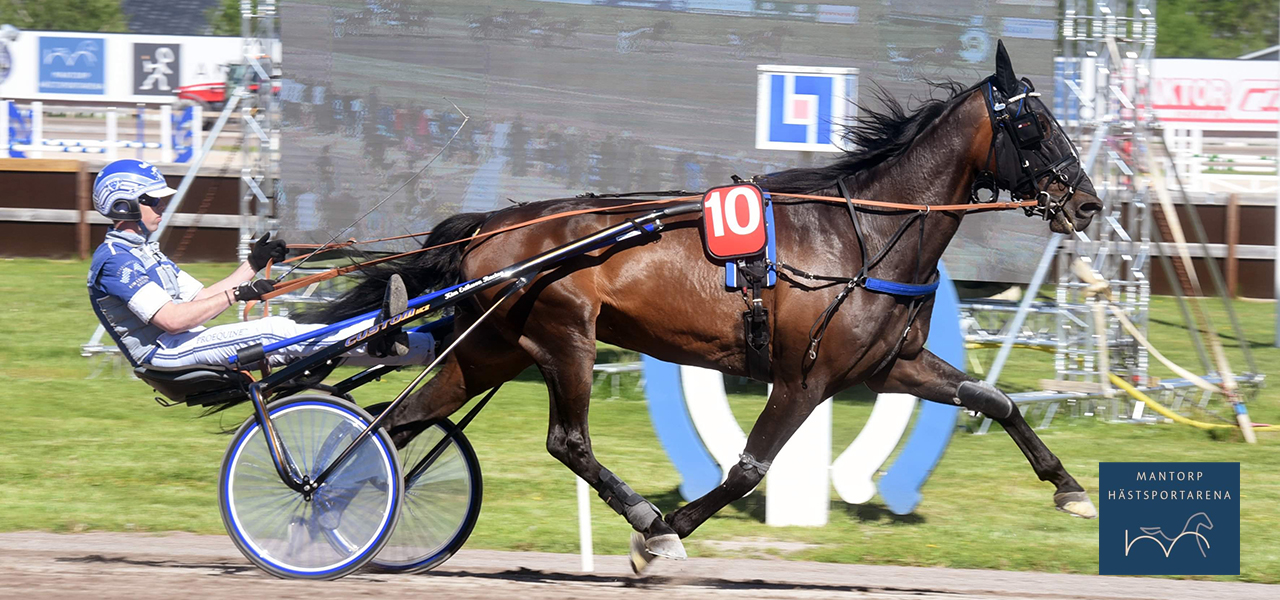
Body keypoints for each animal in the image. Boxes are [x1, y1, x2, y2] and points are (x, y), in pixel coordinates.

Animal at [304, 40, 1105, 565]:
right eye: (1034, 124)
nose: (1089, 203)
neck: (864, 233)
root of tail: (490, 228)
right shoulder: (806, 375)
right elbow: (748, 468)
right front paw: (664, 533)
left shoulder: (886, 365)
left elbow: (995, 399)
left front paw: (1069, 489)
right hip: (566, 340)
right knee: (565, 441)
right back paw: (637, 512)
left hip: (487, 350)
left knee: (398, 419)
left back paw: (325, 499)